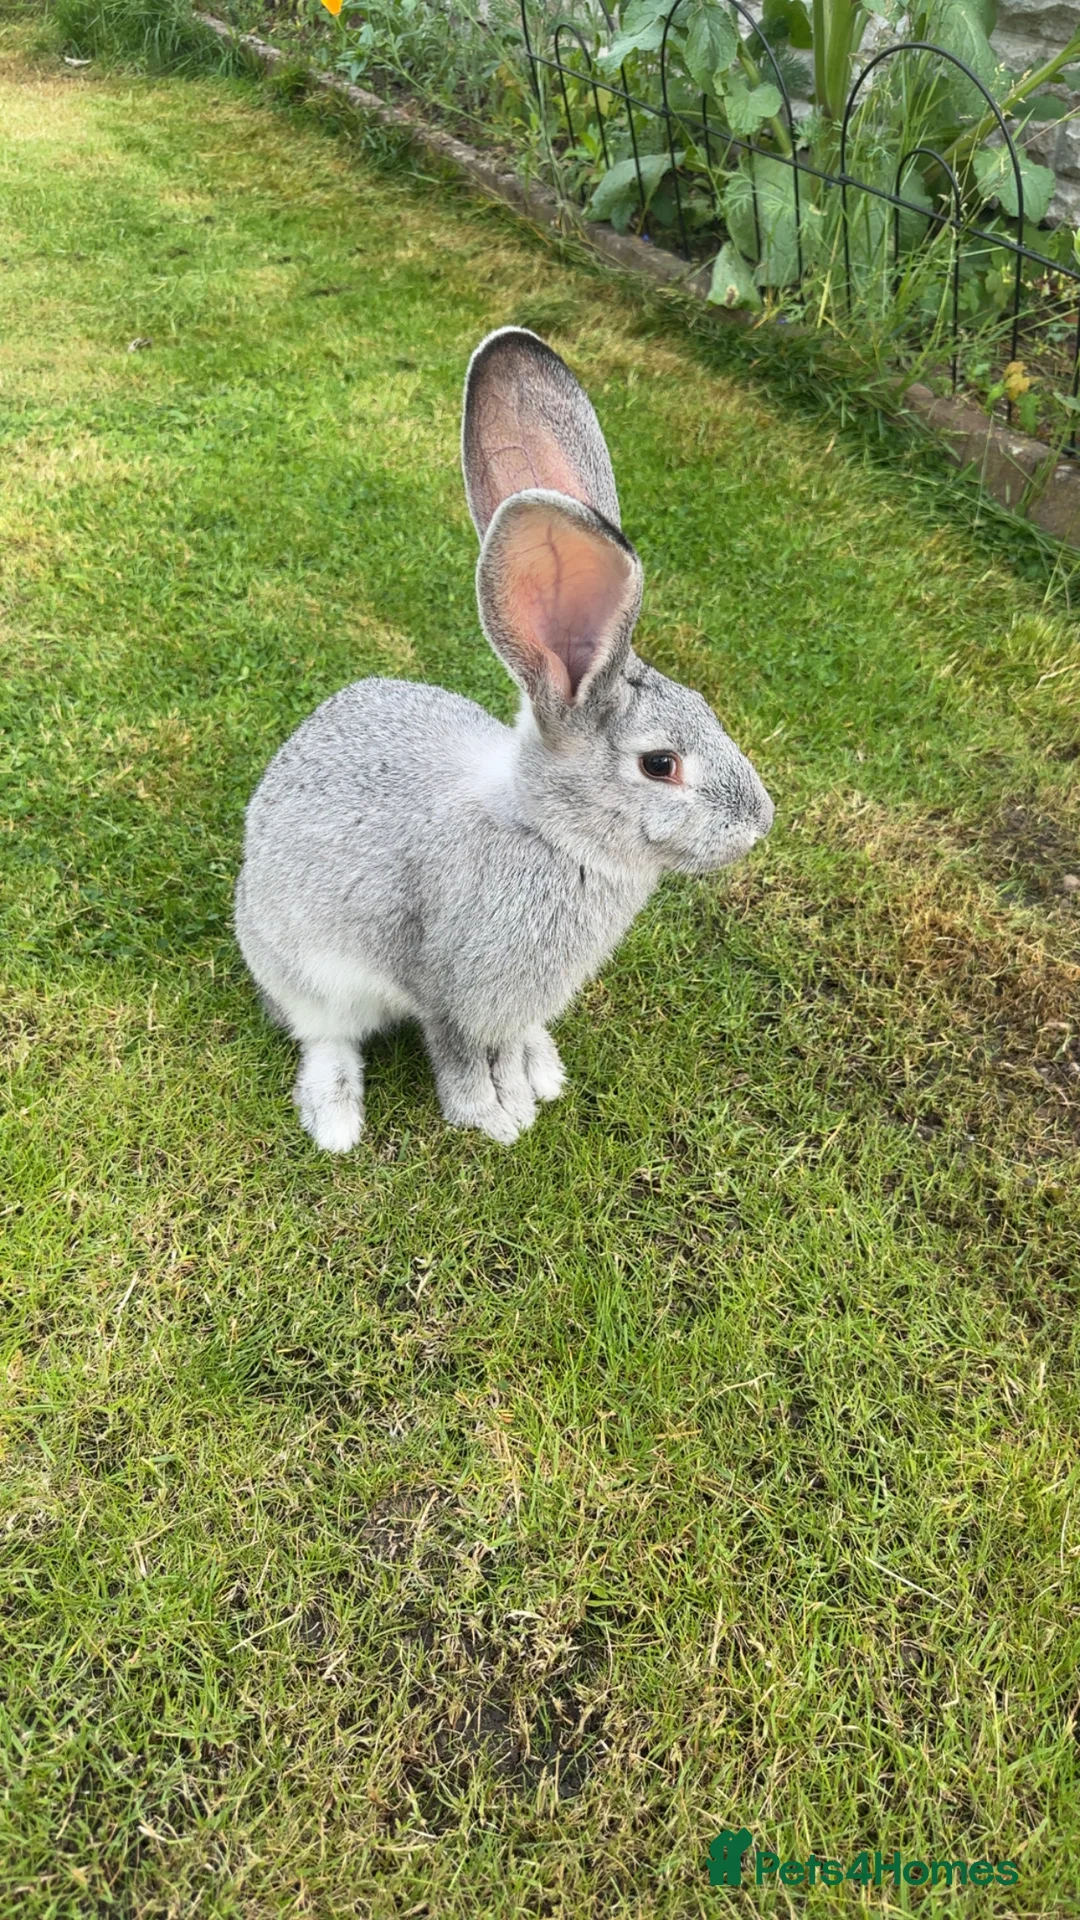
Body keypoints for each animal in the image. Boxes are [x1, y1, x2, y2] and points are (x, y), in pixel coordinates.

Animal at [234, 327, 774, 1151]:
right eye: (660, 764)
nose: (760, 825)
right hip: (298, 968)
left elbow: (510, 1040)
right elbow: (457, 1049)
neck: (548, 834)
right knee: (325, 1035)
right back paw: (334, 1118)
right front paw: (492, 1117)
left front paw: (532, 1080)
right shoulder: (445, 984)